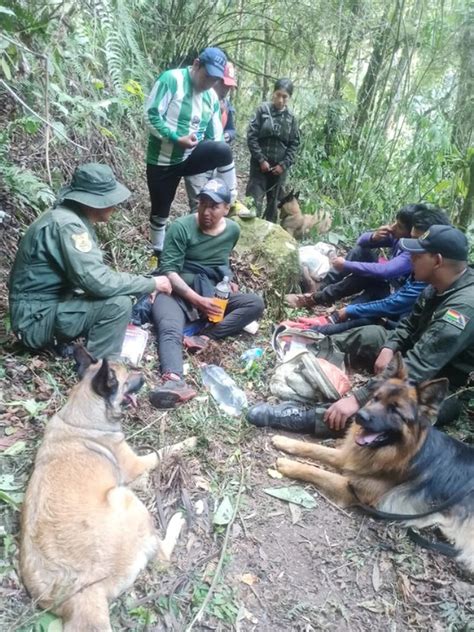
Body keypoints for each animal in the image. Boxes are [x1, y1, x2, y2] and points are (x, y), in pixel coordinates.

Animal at [19, 348, 191, 628]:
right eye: (126, 378)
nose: (145, 376)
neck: (83, 414)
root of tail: (85, 593)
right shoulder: (136, 464)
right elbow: (165, 451)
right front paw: (190, 442)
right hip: (128, 501)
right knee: (162, 558)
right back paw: (177, 519)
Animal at [270, 354, 474, 576]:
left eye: (395, 410)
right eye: (376, 398)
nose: (360, 416)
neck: (392, 452)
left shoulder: (356, 491)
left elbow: (319, 472)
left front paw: (288, 464)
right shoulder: (350, 458)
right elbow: (314, 449)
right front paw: (284, 441)